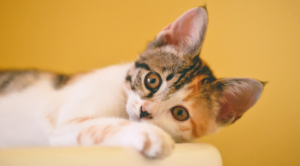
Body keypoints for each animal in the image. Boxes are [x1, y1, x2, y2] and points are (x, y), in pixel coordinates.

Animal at [0, 7, 264, 159]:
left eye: (180, 113)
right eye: (152, 80)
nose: (145, 112)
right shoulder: (64, 125)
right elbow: (101, 125)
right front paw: (151, 135)